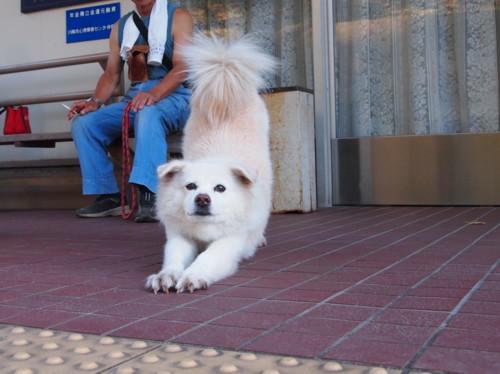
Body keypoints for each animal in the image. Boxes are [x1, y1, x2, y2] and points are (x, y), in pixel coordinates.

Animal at [145, 33, 278, 294]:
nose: (203, 199)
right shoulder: (180, 236)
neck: (205, 229)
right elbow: (174, 258)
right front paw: (165, 276)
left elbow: (208, 257)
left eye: (220, 188)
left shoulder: (230, 241)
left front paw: (193, 276)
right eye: (190, 186)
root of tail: (223, 65)